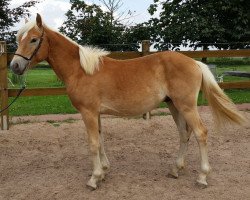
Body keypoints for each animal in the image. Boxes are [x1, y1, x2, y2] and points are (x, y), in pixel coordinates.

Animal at [9, 14, 244, 189]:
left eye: (33, 39)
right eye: (19, 39)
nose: (15, 66)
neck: (81, 70)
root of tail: (194, 62)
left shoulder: (88, 112)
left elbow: (93, 143)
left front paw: (94, 179)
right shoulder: (96, 114)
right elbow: (101, 140)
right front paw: (104, 172)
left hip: (186, 106)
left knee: (200, 133)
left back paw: (202, 177)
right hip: (174, 106)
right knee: (183, 134)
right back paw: (175, 170)